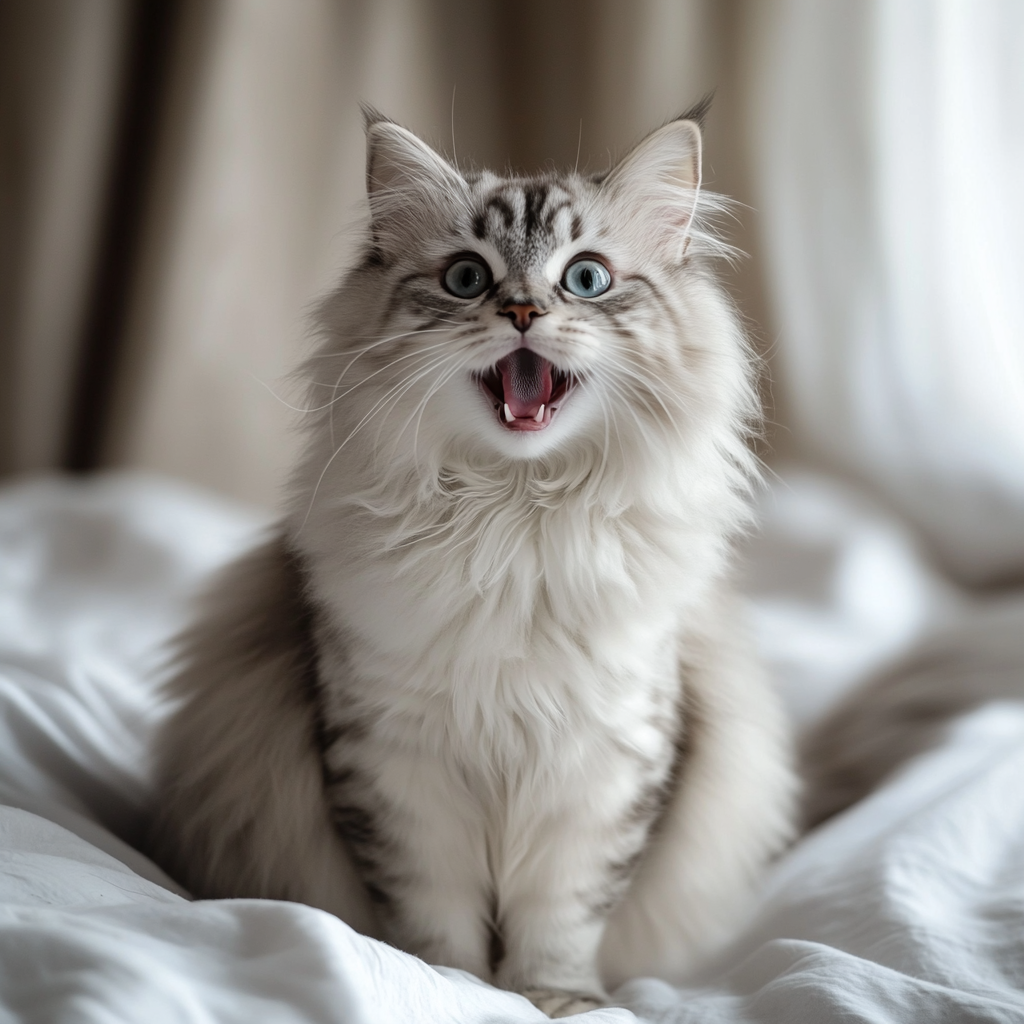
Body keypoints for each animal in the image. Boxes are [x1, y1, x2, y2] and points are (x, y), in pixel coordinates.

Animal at [148, 103, 794, 1015]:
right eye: (466, 278)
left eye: (585, 279)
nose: (522, 311)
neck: (513, 522)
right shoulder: (396, 766)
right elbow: (432, 912)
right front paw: (448, 985)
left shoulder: (604, 767)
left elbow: (562, 916)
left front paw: (557, 1001)